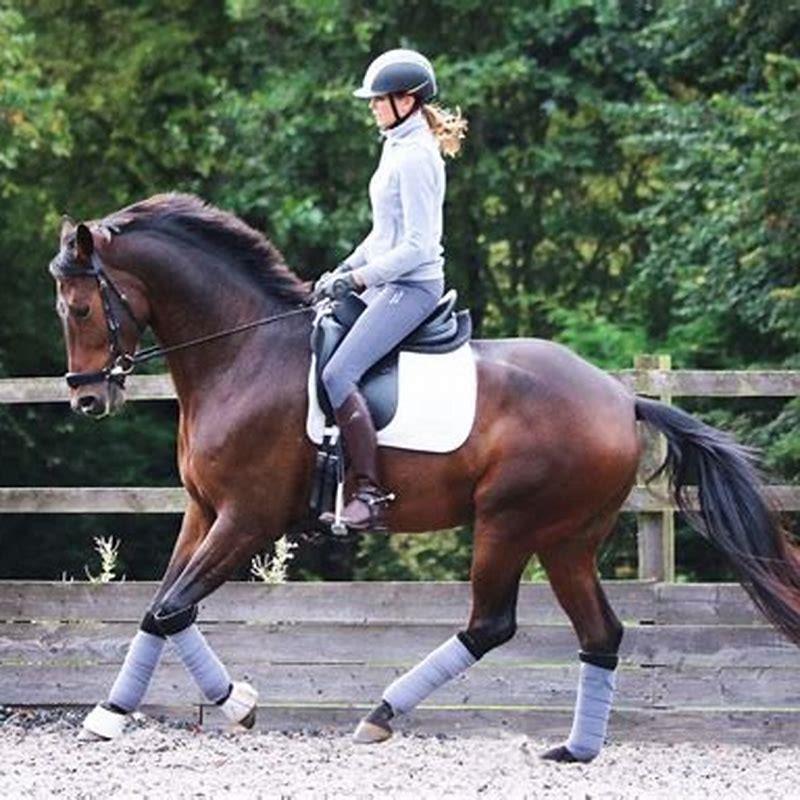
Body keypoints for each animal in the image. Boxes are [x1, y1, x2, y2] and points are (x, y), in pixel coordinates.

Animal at [49, 193, 800, 761]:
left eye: (80, 308)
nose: (86, 400)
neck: (243, 353)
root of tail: (621, 398)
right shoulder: (204, 512)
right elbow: (160, 607)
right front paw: (114, 712)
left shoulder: (246, 519)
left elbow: (172, 606)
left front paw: (234, 706)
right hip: (567, 540)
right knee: (600, 634)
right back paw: (575, 749)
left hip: (510, 524)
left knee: (491, 624)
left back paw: (381, 714)